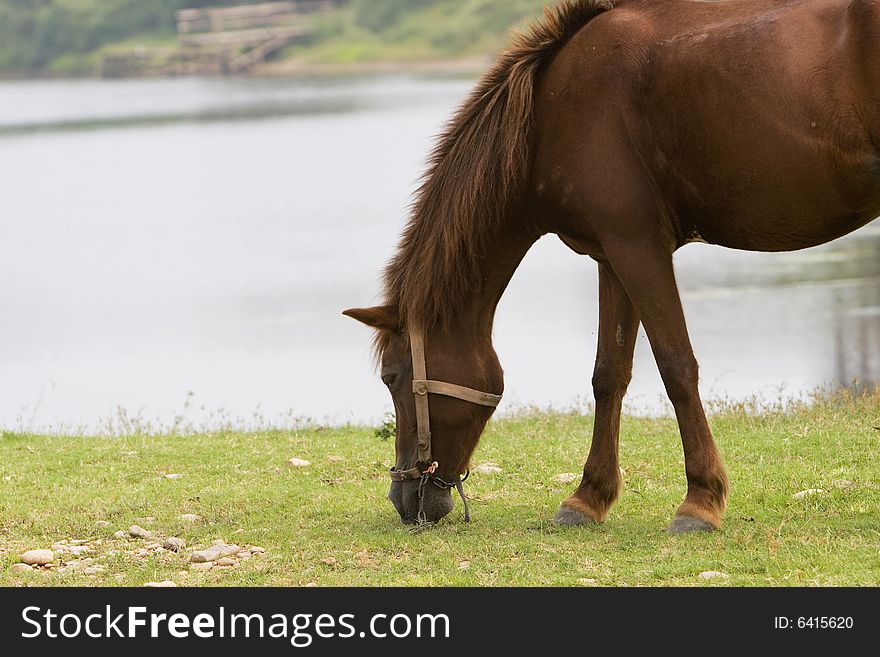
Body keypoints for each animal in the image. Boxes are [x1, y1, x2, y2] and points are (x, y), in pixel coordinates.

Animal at [342, 0, 880, 532]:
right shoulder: (611, 255)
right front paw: (589, 497)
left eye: (392, 377)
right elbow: (609, 375)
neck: (547, 117)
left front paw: (701, 500)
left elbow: (676, 366)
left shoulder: (638, 246)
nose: (403, 498)